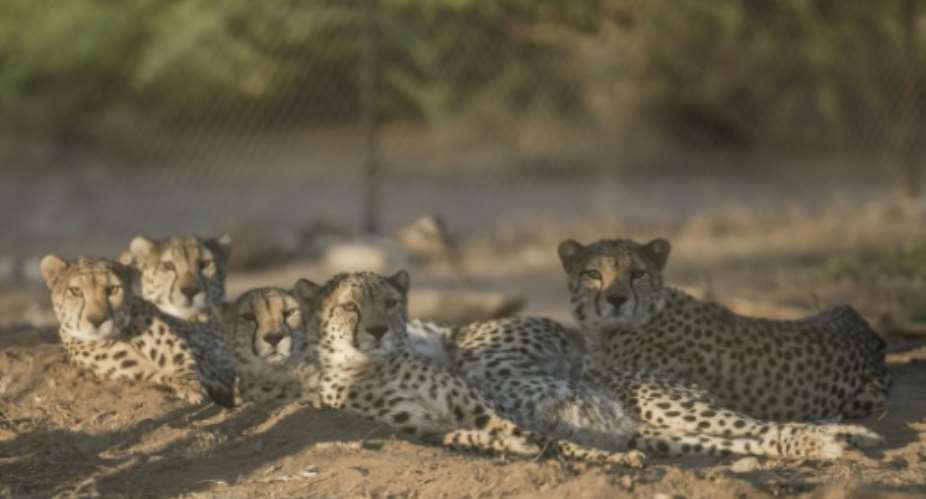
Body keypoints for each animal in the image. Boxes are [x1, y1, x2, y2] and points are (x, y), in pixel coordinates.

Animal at [41, 254, 237, 407]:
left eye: (113, 289)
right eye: (75, 291)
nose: (97, 320)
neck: (121, 333)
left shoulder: (182, 356)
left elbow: (186, 369)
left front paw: (193, 391)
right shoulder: (141, 372)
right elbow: (166, 375)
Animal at [298, 270, 648, 466]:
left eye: (390, 303)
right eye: (349, 306)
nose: (378, 331)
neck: (378, 366)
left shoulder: (485, 412)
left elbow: (551, 440)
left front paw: (612, 456)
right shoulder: (425, 431)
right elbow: (466, 437)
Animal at [408, 317, 882, 460]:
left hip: (672, 406)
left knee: (761, 426)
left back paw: (842, 437)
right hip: (662, 430)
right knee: (756, 437)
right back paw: (832, 442)